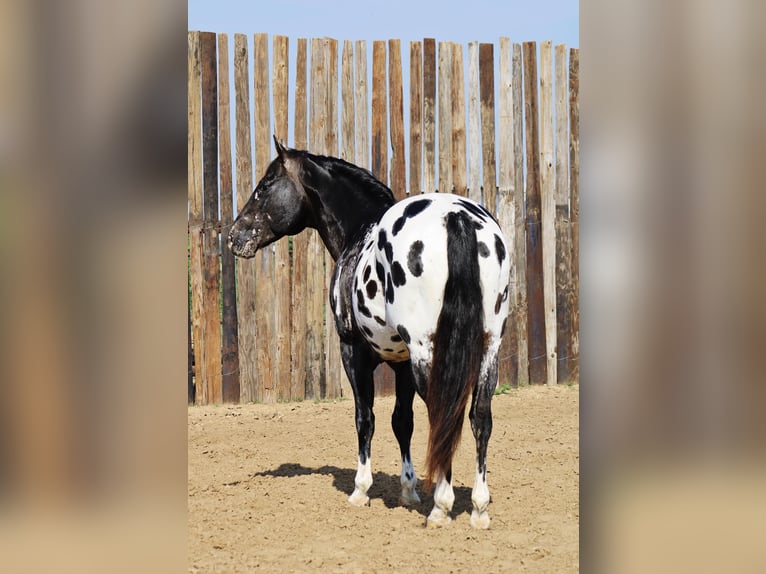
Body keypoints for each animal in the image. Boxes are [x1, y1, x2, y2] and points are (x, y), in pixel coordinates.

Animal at [231, 136, 512, 532]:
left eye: (265, 185)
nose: (234, 236)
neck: (359, 232)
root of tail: (457, 217)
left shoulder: (354, 352)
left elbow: (365, 418)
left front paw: (361, 490)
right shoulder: (402, 363)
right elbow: (402, 422)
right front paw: (408, 489)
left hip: (428, 353)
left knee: (443, 414)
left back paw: (441, 507)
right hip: (488, 349)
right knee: (479, 418)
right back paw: (478, 508)